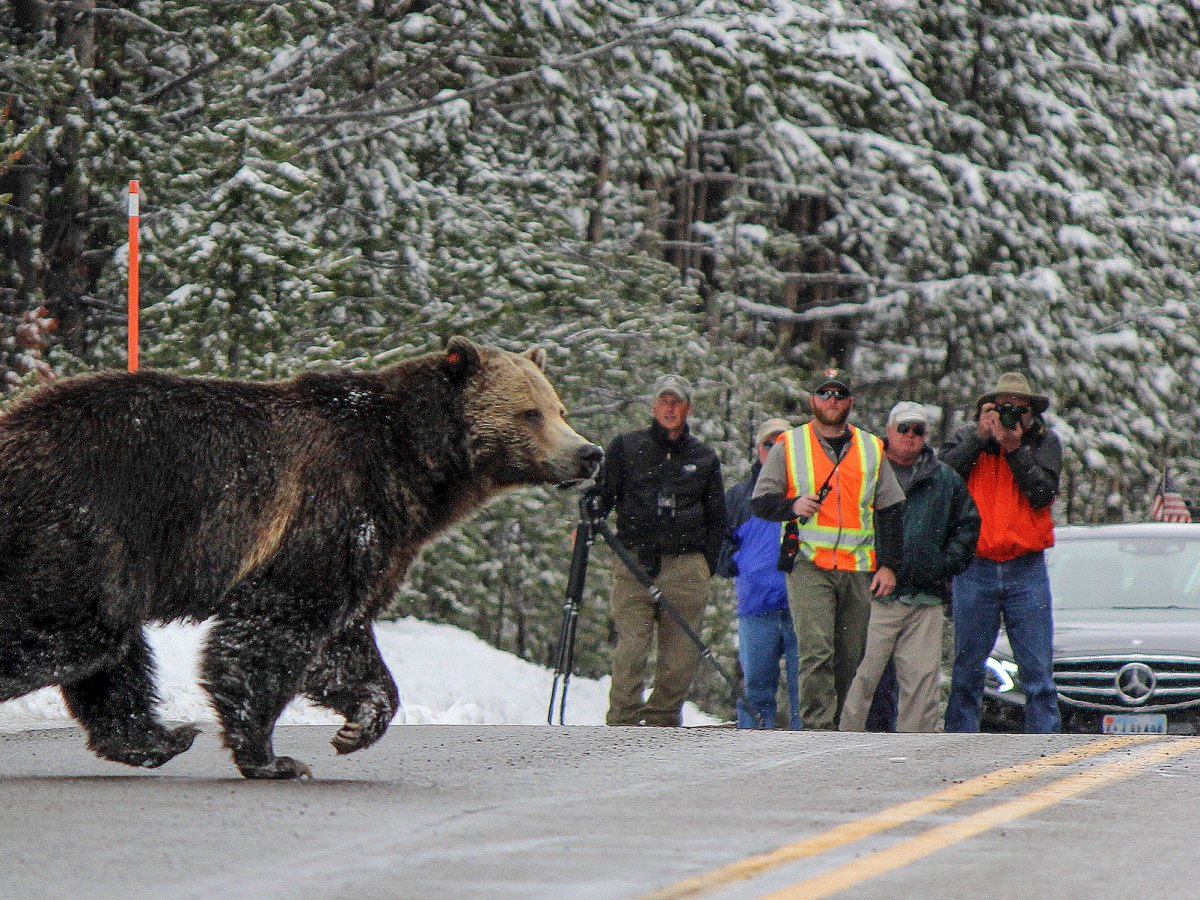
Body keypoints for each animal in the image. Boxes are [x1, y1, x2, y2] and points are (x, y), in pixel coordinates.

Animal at [0, 337, 601, 779]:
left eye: (559, 407)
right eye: (530, 412)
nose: (588, 452)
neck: (415, 467)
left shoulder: (378, 543)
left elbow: (344, 641)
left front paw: (358, 724)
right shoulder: (333, 508)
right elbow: (275, 629)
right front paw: (273, 757)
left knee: (111, 652)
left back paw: (159, 737)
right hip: (81, 529)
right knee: (72, 635)